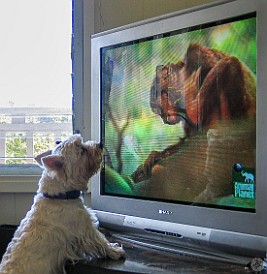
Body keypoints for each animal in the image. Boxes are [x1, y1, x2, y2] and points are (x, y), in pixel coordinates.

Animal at [0, 135, 125, 274]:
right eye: (82, 150)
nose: (100, 144)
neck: (60, 196)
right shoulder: (84, 228)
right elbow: (100, 239)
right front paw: (116, 251)